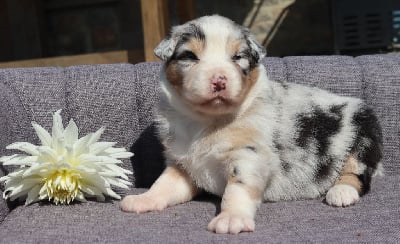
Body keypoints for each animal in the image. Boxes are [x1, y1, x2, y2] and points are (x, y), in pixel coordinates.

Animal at [120, 14, 382, 234]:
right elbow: (164, 184)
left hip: (364, 133)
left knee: (357, 173)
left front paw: (231, 219)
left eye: (238, 57)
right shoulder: (182, 164)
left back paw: (341, 192)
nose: (219, 81)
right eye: (190, 56)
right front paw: (144, 199)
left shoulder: (249, 156)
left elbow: (236, 189)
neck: (208, 121)